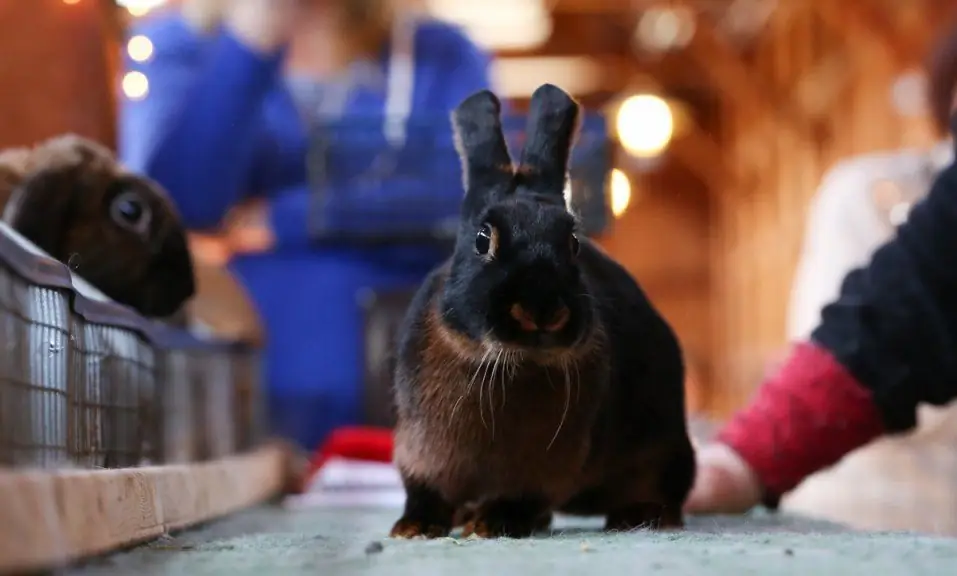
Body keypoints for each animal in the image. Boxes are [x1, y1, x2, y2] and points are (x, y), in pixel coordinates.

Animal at [388, 83, 696, 536]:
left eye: (573, 242)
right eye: (483, 239)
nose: (542, 310)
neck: (513, 362)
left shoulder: (545, 472)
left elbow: (521, 498)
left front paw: (492, 523)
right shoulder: (420, 451)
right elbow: (424, 490)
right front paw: (415, 527)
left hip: (665, 450)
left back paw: (637, 516)